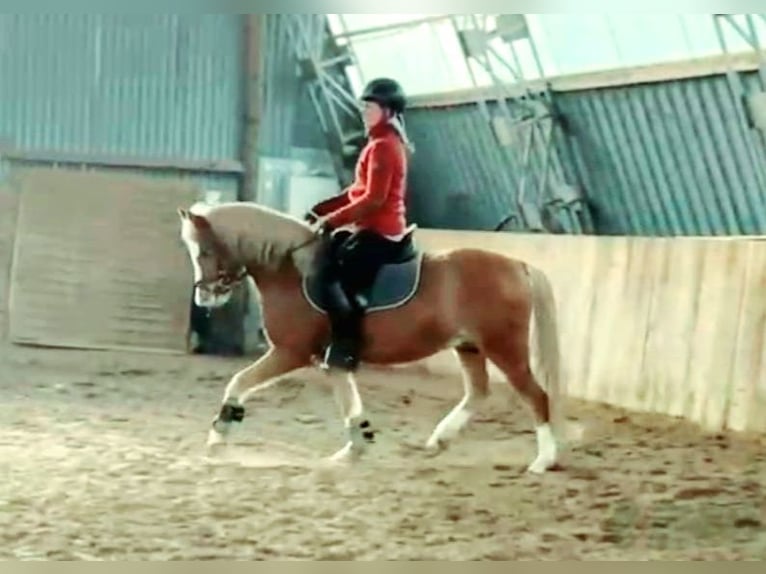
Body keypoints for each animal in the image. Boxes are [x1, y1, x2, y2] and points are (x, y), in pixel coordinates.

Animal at [177, 201, 565, 474]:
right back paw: (440, 439)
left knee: (536, 396)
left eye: (205, 251)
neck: (292, 269)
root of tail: (517, 265)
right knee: (478, 391)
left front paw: (218, 437)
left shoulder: (290, 351)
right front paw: (356, 445)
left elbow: (239, 382)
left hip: (504, 347)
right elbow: (349, 400)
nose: (205, 298)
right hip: (469, 346)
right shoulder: (331, 358)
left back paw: (542, 461)